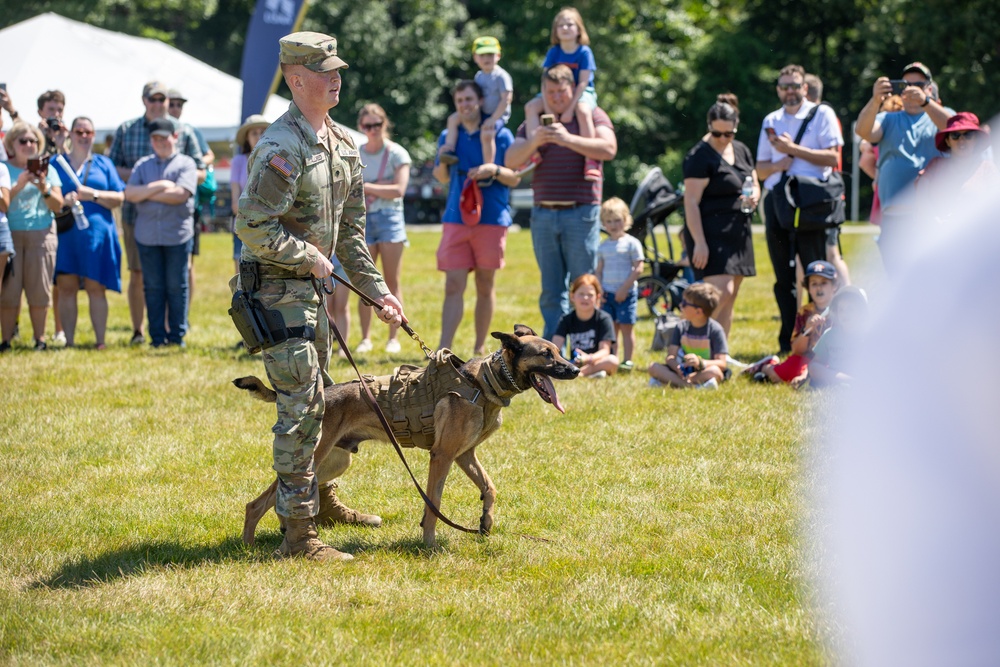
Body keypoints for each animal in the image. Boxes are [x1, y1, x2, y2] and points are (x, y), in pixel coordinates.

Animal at [236, 324, 580, 548]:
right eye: (546, 355)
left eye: (559, 352)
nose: (576, 369)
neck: (483, 382)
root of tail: (321, 395)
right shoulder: (442, 456)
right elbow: (433, 504)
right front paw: (428, 545)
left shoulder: (464, 455)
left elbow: (490, 487)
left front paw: (486, 522)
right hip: (315, 457)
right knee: (256, 504)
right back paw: (249, 547)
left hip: (332, 462)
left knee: (284, 498)